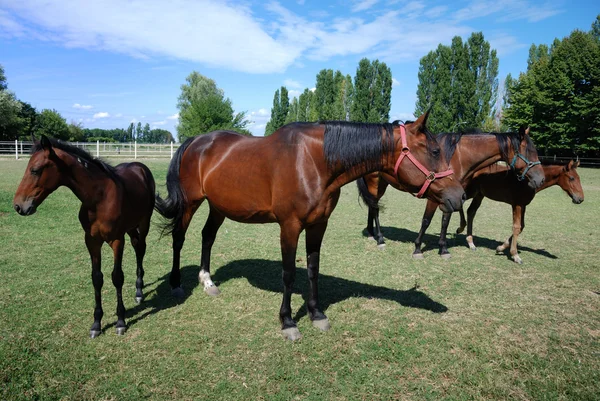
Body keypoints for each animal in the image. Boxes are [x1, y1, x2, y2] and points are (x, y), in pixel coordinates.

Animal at [13, 135, 157, 338]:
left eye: (35, 170)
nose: (18, 206)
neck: (99, 198)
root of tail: (140, 167)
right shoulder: (92, 241)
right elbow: (97, 278)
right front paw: (96, 323)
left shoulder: (116, 240)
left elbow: (117, 277)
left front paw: (120, 321)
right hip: (130, 226)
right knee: (137, 245)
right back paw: (139, 288)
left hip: (144, 222)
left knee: (141, 248)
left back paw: (139, 291)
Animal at [155, 111, 464, 340]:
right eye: (434, 150)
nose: (459, 196)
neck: (314, 161)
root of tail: (195, 141)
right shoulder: (289, 226)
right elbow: (289, 273)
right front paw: (288, 322)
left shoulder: (318, 225)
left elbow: (313, 269)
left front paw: (317, 314)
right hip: (191, 202)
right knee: (179, 238)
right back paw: (177, 284)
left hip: (218, 206)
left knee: (207, 237)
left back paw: (208, 281)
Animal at [358, 126, 548, 256]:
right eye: (530, 151)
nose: (541, 179)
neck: (458, 157)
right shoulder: (435, 197)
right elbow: (426, 220)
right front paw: (418, 247)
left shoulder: (451, 197)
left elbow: (446, 220)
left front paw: (443, 248)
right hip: (375, 182)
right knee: (374, 208)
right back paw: (380, 238)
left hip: (382, 184)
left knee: (372, 207)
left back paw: (371, 233)